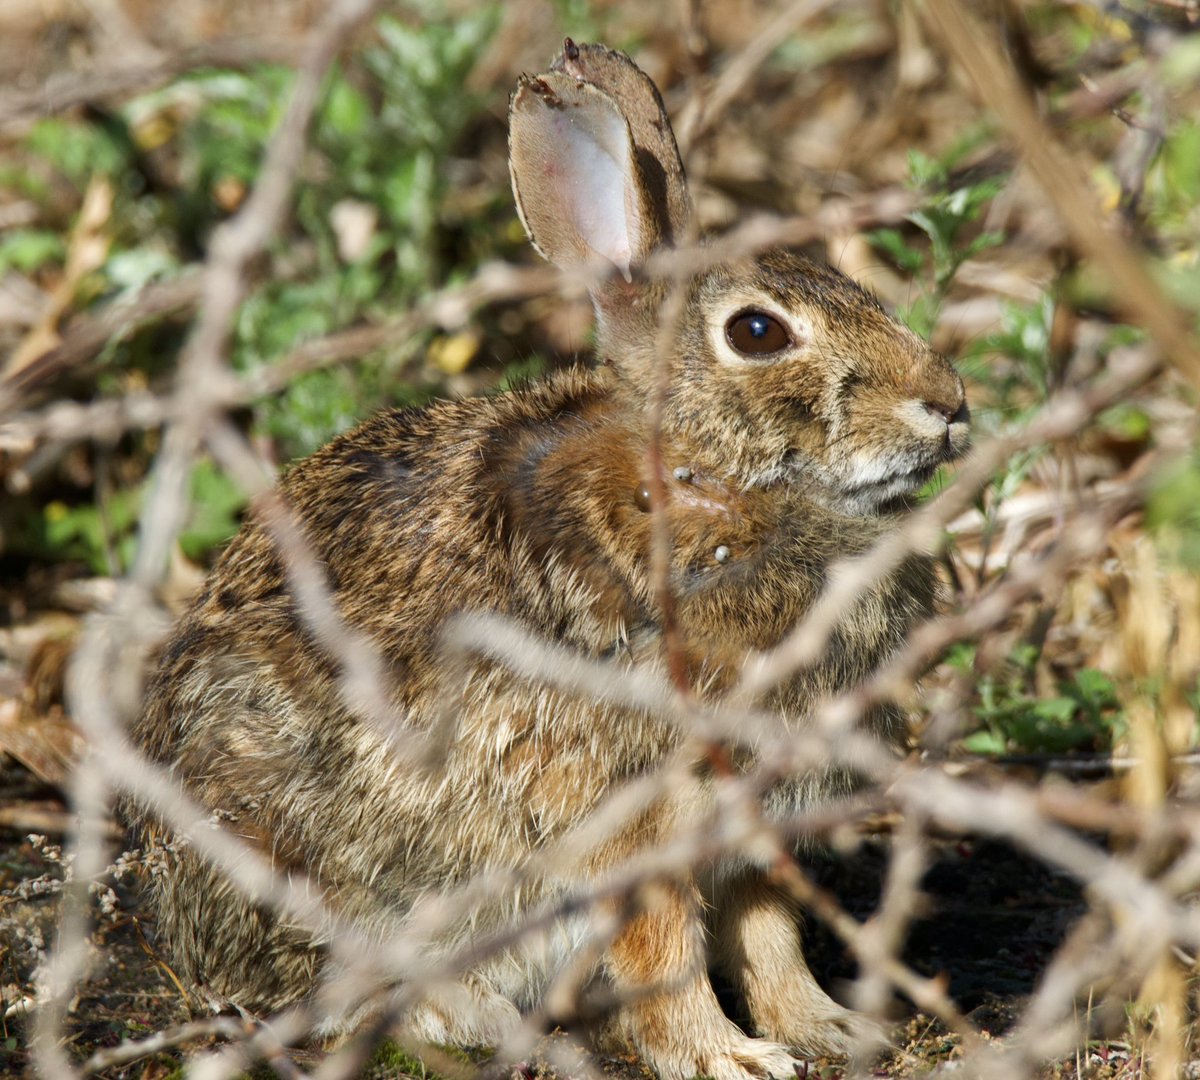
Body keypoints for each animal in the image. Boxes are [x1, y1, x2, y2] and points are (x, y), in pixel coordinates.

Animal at [126, 37, 969, 1080]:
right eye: (758, 332)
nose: (948, 402)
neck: (704, 481)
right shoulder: (636, 819)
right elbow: (666, 954)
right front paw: (727, 1060)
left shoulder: (749, 822)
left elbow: (767, 932)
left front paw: (829, 1029)